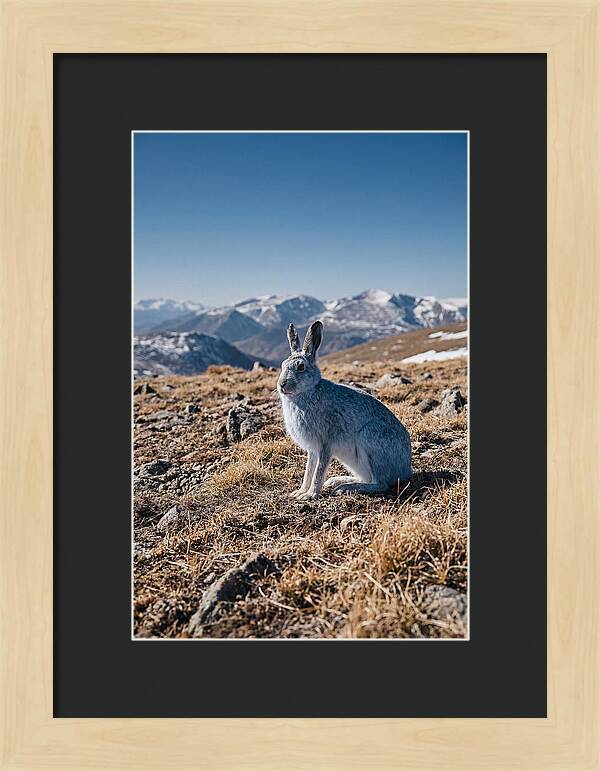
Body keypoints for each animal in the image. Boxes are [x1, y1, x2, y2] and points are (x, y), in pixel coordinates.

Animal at [277, 320, 412, 500]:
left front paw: (310, 495)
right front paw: (300, 492)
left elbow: (318, 471)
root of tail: (406, 470)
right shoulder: (313, 450)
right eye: (282, 365)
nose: (282, 385)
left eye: (301, 367)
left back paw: (345, 488)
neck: (307, 392)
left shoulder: (325, 444)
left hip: (370, 440)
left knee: (380, 483)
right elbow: (309, 470)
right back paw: (337, 481)